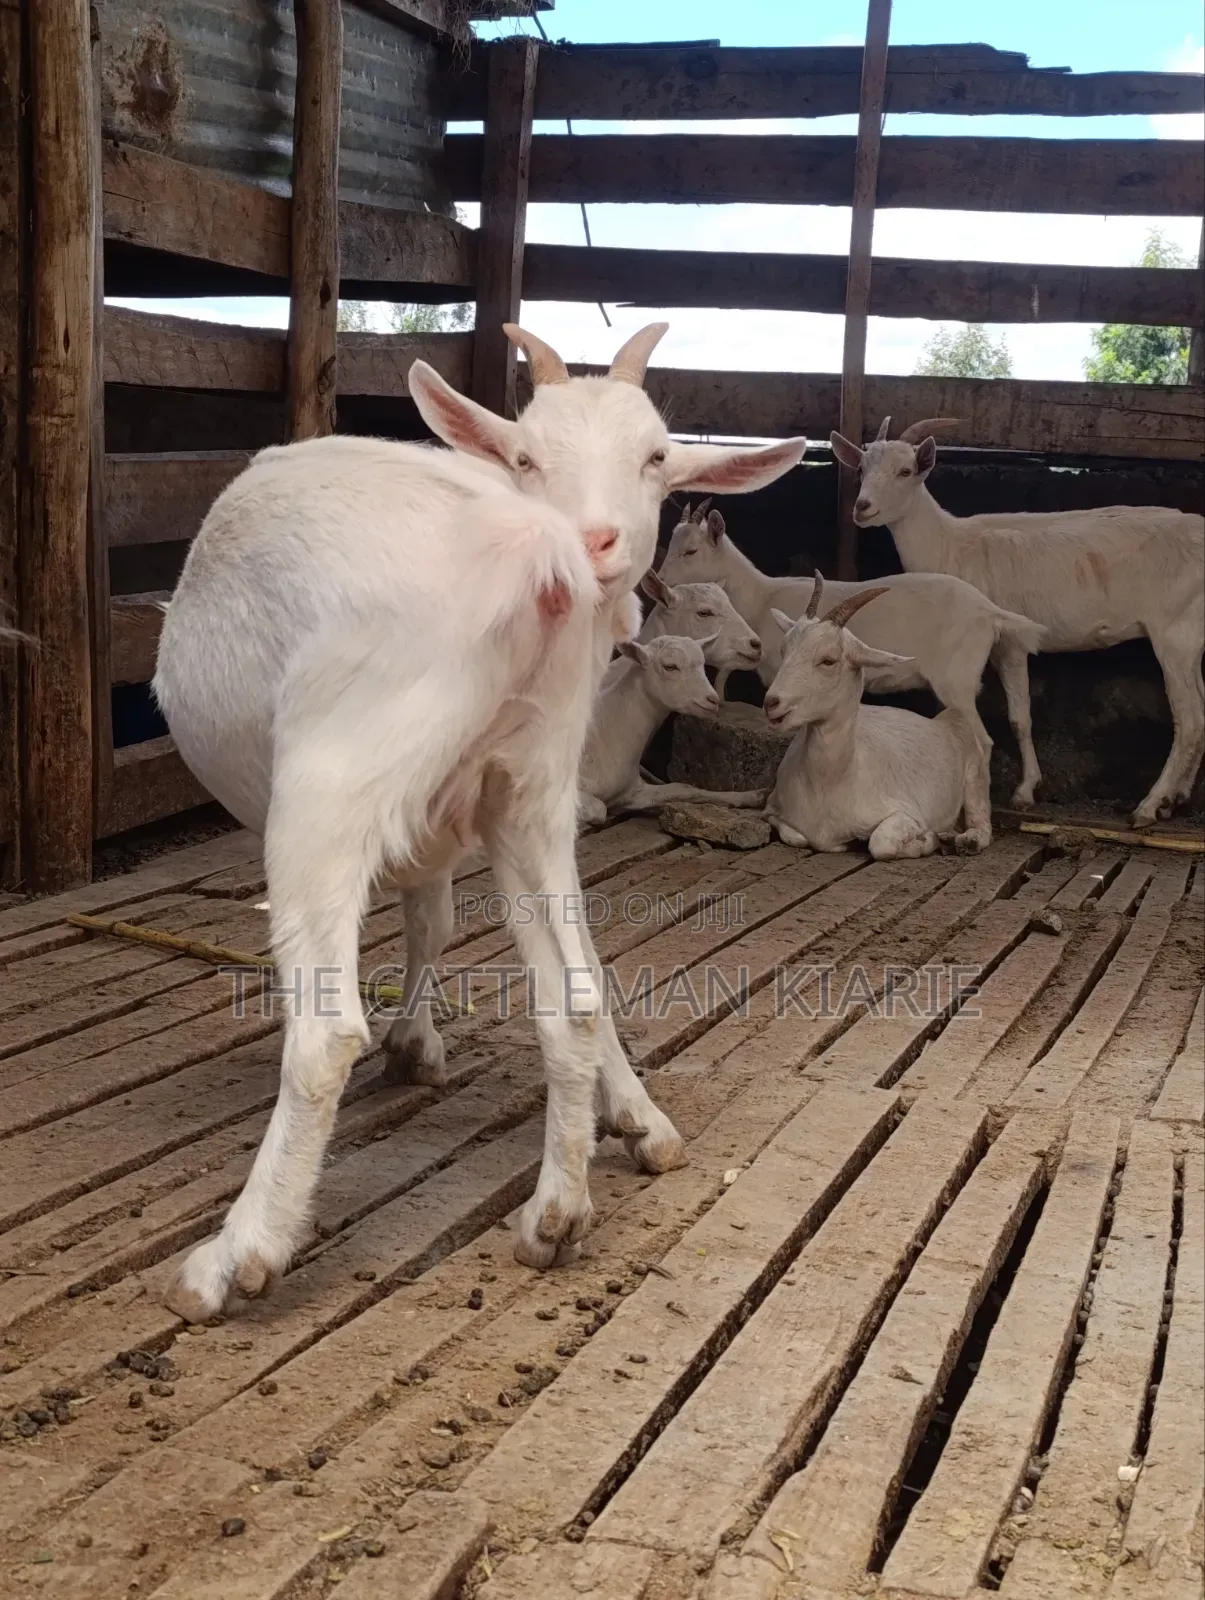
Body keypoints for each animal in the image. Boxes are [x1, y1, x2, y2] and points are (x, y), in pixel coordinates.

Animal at [581, 633, 768, 820]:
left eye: (703, 664)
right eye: (670, 666)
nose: (713, 700)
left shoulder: (634, 791)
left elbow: (684, 788)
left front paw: (752, 796)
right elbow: (599, 809)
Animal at [658, 505, 1044, 792]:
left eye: (690, 551)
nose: (661, 581)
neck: (761, 597)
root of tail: (988, 611)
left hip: (957, 681)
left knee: (983, 741)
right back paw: (1026, 791)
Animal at [764, 576, 992, 859]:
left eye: (828, 660)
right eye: (784, 650)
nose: (771, 703)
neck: (830, 784)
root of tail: (940, 721)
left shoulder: (905, 812)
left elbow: (880, 842)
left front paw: (927, 840)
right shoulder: (773, 808)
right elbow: (795, 836)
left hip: (973, 773)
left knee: (982, 821)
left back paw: (965, 840)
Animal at [832, 416, 1205, 825]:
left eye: (905, 471)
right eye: (861, 468)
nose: (862, 508)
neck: (951, 545)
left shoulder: (1009, 641)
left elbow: (1018, 717)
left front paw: (1024, 792)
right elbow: (1020, 716)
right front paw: (1028, 790)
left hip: (1175, 629)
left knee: (1189, 721)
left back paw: (1150, 806)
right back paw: (1177, 798)